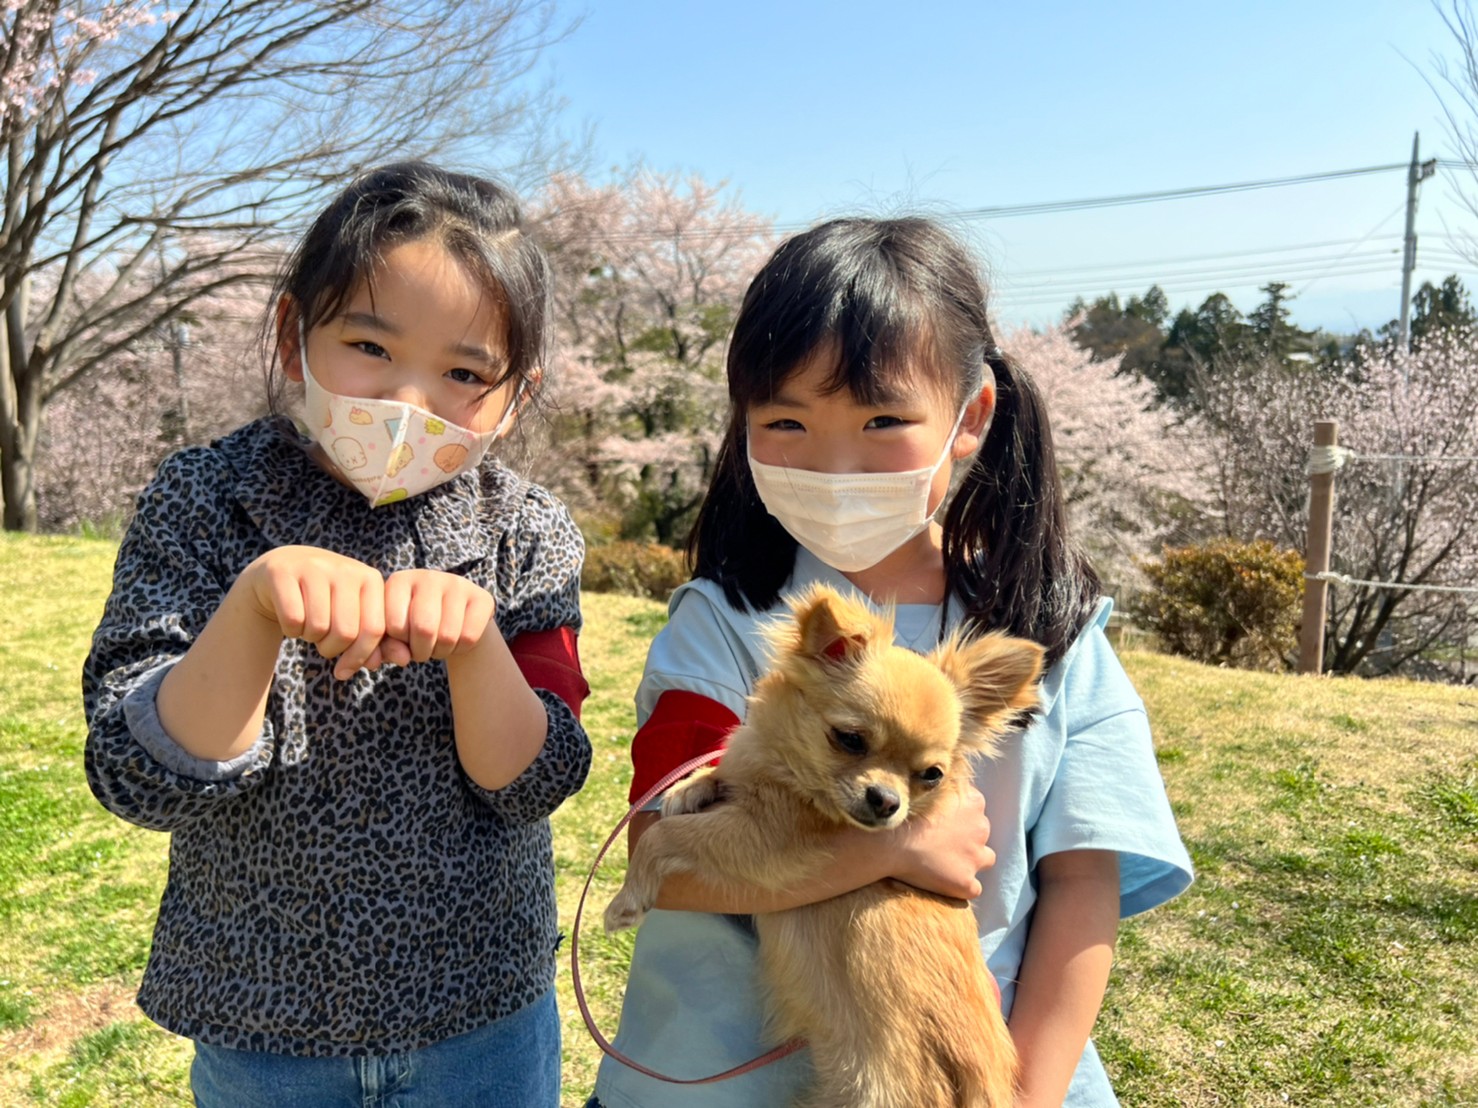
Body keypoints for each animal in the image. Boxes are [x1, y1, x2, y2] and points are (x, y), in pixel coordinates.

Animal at [605, 585, 1046, 1105]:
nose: (887, 802)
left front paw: (626, 901)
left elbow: (661, 835)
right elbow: (713, 775)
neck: (790, 773)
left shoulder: (766, 840)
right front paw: (685, 786)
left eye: (931, 775)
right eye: (850, 739)